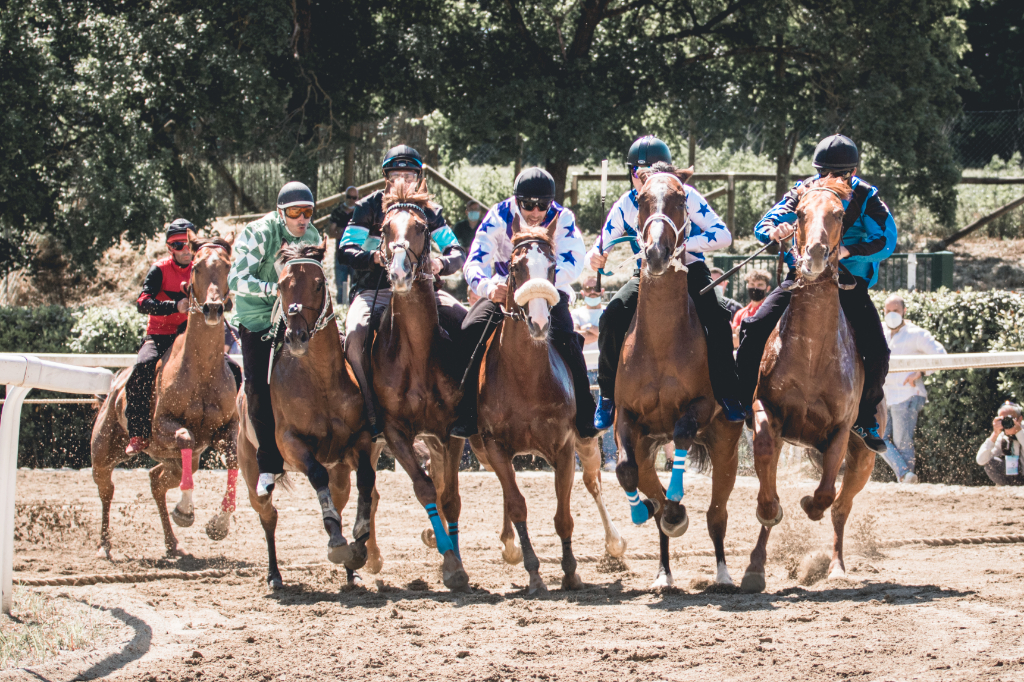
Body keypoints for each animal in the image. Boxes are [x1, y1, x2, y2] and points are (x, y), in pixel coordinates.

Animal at [90, 236, 237, 557]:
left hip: (172, 462)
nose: (213, 309)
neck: (201, 370)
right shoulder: (161, 427)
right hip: (104, 452)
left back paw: (172, 544)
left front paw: (219, 524)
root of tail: (113, 389)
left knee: (157, 481)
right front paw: (185, 510)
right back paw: (104, 544)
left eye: (227, 266)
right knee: (107, 490)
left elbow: (233, 460)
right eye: (196, 267)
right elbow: (185, 437)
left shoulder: (226, 428)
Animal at [235, 241, 380, 585]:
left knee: (339, 496)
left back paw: (351, 573)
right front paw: (336, 538)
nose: (297, 336)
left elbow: (366, 479)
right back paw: (274, 574)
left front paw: (358, 539)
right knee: (268, 515)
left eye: (317, 284)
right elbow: (316, 475)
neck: (321, 380)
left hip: (339, 471)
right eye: (280, 286)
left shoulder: (358, 440)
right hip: (251, 471)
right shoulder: (291, 443)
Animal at [475, 220, 626, 593]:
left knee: (593, 483)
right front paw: (533, 572)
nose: (540, 323)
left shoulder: (563, 448)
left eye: (553, 266)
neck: (525, 378)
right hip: (484, 452)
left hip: (587, 443)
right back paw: (509, 545)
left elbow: (564, 517)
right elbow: (516, 505)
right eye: (514, 267)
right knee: (508, 489)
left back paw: (614, 543)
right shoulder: (494, 446)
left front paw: (571, 572)